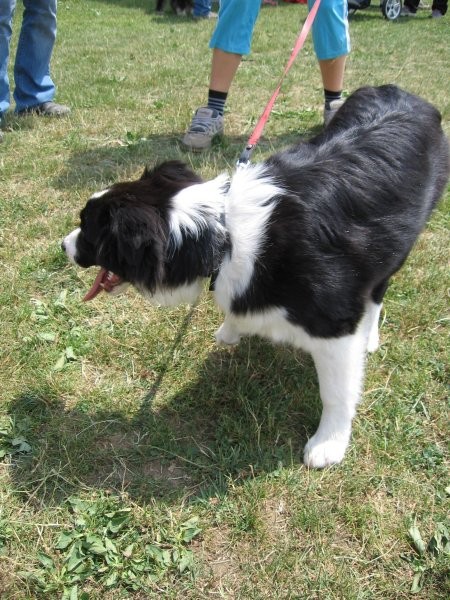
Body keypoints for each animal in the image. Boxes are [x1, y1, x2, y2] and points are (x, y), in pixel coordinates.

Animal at [63, 85, 450, 468]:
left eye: (88, 231)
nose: (62, 245)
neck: (221, 234)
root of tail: (405, 93)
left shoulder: (334, 322)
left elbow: (336, 391)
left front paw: (330, 442)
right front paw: (231, 330)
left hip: (396, 242)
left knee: (378, 288)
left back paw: (369, 336)